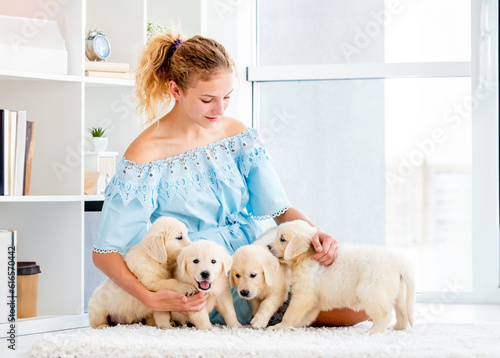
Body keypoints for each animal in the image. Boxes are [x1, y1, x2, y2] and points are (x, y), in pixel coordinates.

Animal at [268, 220, 416, 334]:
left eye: (282, 239)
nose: (268, 246)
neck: (306, 256)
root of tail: (397, 260)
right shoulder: (314, 299)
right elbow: (306, 315)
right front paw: (298, 325)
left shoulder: (303, 295)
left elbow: (291, 313)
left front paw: (279, 326)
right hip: (398, 294)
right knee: (401, 312)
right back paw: (397, 328)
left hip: (370, 291)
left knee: (385, 314)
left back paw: (371, 332)